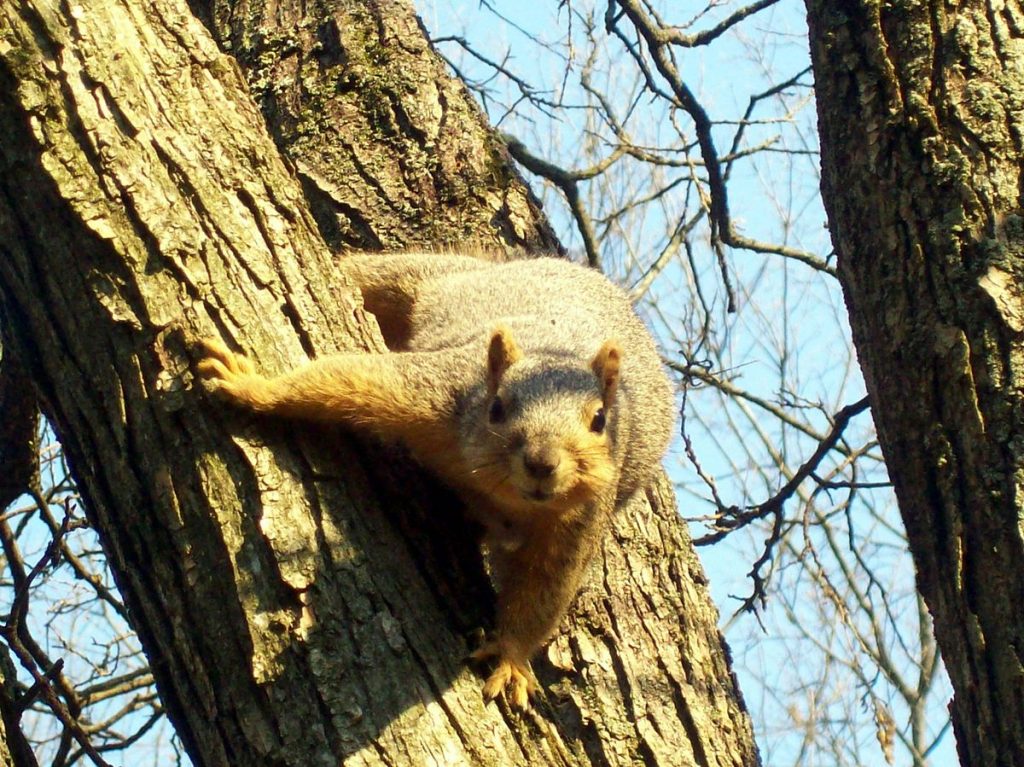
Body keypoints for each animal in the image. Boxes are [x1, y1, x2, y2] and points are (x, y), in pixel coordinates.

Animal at [195, 253, 675, 708]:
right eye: (496, 408)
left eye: (600, 420)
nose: (542, 463)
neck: (507, 497)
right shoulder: (435, 393)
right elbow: (349, 379)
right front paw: (256, 386)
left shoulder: (579, 521)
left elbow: (544, 591)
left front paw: (510, 658)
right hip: (425, 279)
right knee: (375, 275)